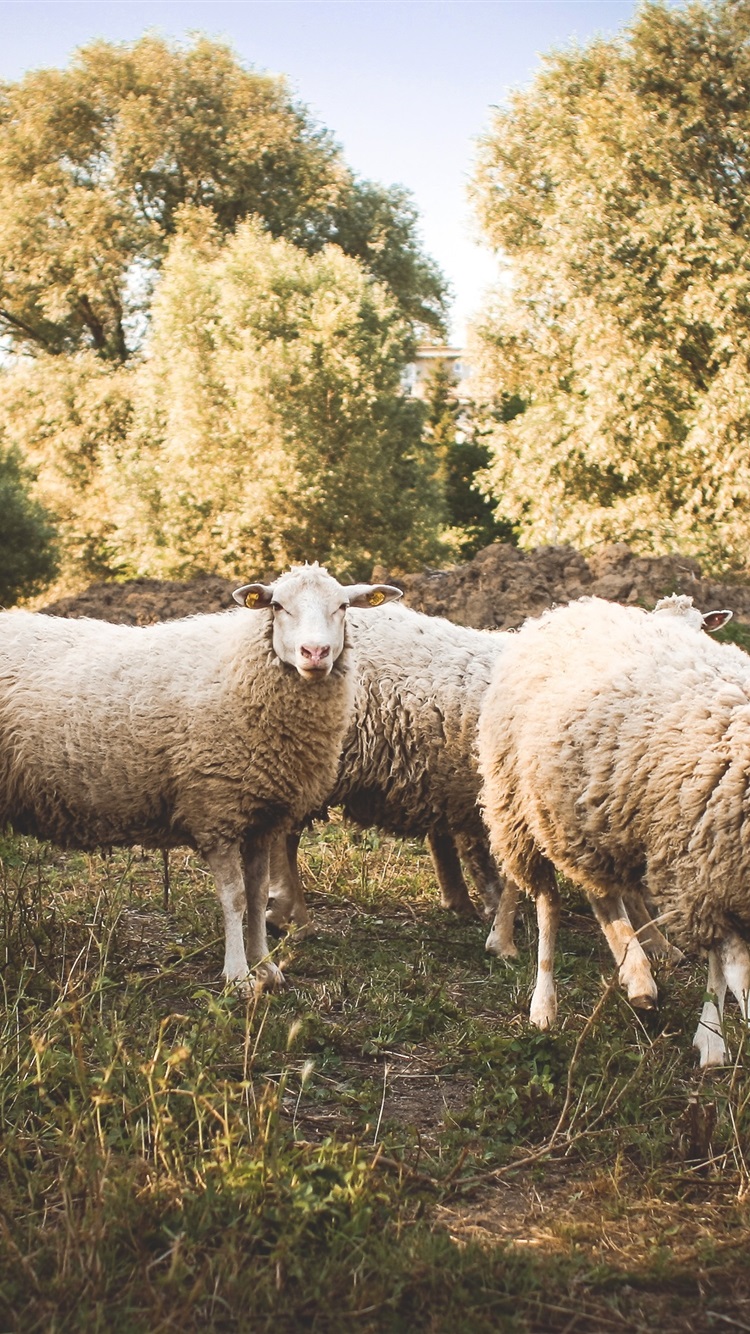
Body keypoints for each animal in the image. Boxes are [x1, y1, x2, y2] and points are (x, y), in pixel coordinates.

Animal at [0, 564, 400, 990]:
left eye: (343, 606)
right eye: (277, 606)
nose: (315, 653)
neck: (240, 669)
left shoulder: (263, 817)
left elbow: (258, 894)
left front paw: (265, 966)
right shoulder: (216, 811)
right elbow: (235, 897)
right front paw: (238, 976)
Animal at [477, 595, 750, 1066]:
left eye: (703, 627)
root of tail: (567, 610)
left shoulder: (712, 875)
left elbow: (722, 967)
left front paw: (710, 1039)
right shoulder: (702, 867)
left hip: (596, 817)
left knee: (599, 891)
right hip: (533, 800)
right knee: (554, 899)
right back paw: (552, 997)